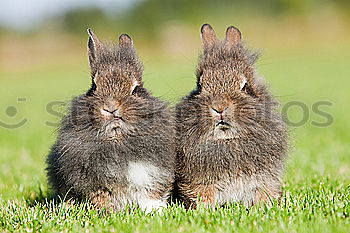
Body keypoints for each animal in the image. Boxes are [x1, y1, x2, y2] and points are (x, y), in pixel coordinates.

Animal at [45, 28, 175, 212]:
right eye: (94, 87)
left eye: (136, 89)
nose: (111, 107)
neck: (117, 137)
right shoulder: (94, 183)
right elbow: (101, 197)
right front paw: (109, 212)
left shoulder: (154, 175)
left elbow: (151, 194)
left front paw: (155, 210)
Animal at [174, 24, 288, 209]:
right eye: (200, 85)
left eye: (245, 86)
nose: (219, 107)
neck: (227, 138)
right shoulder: (200, 184)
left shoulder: (265, 180)